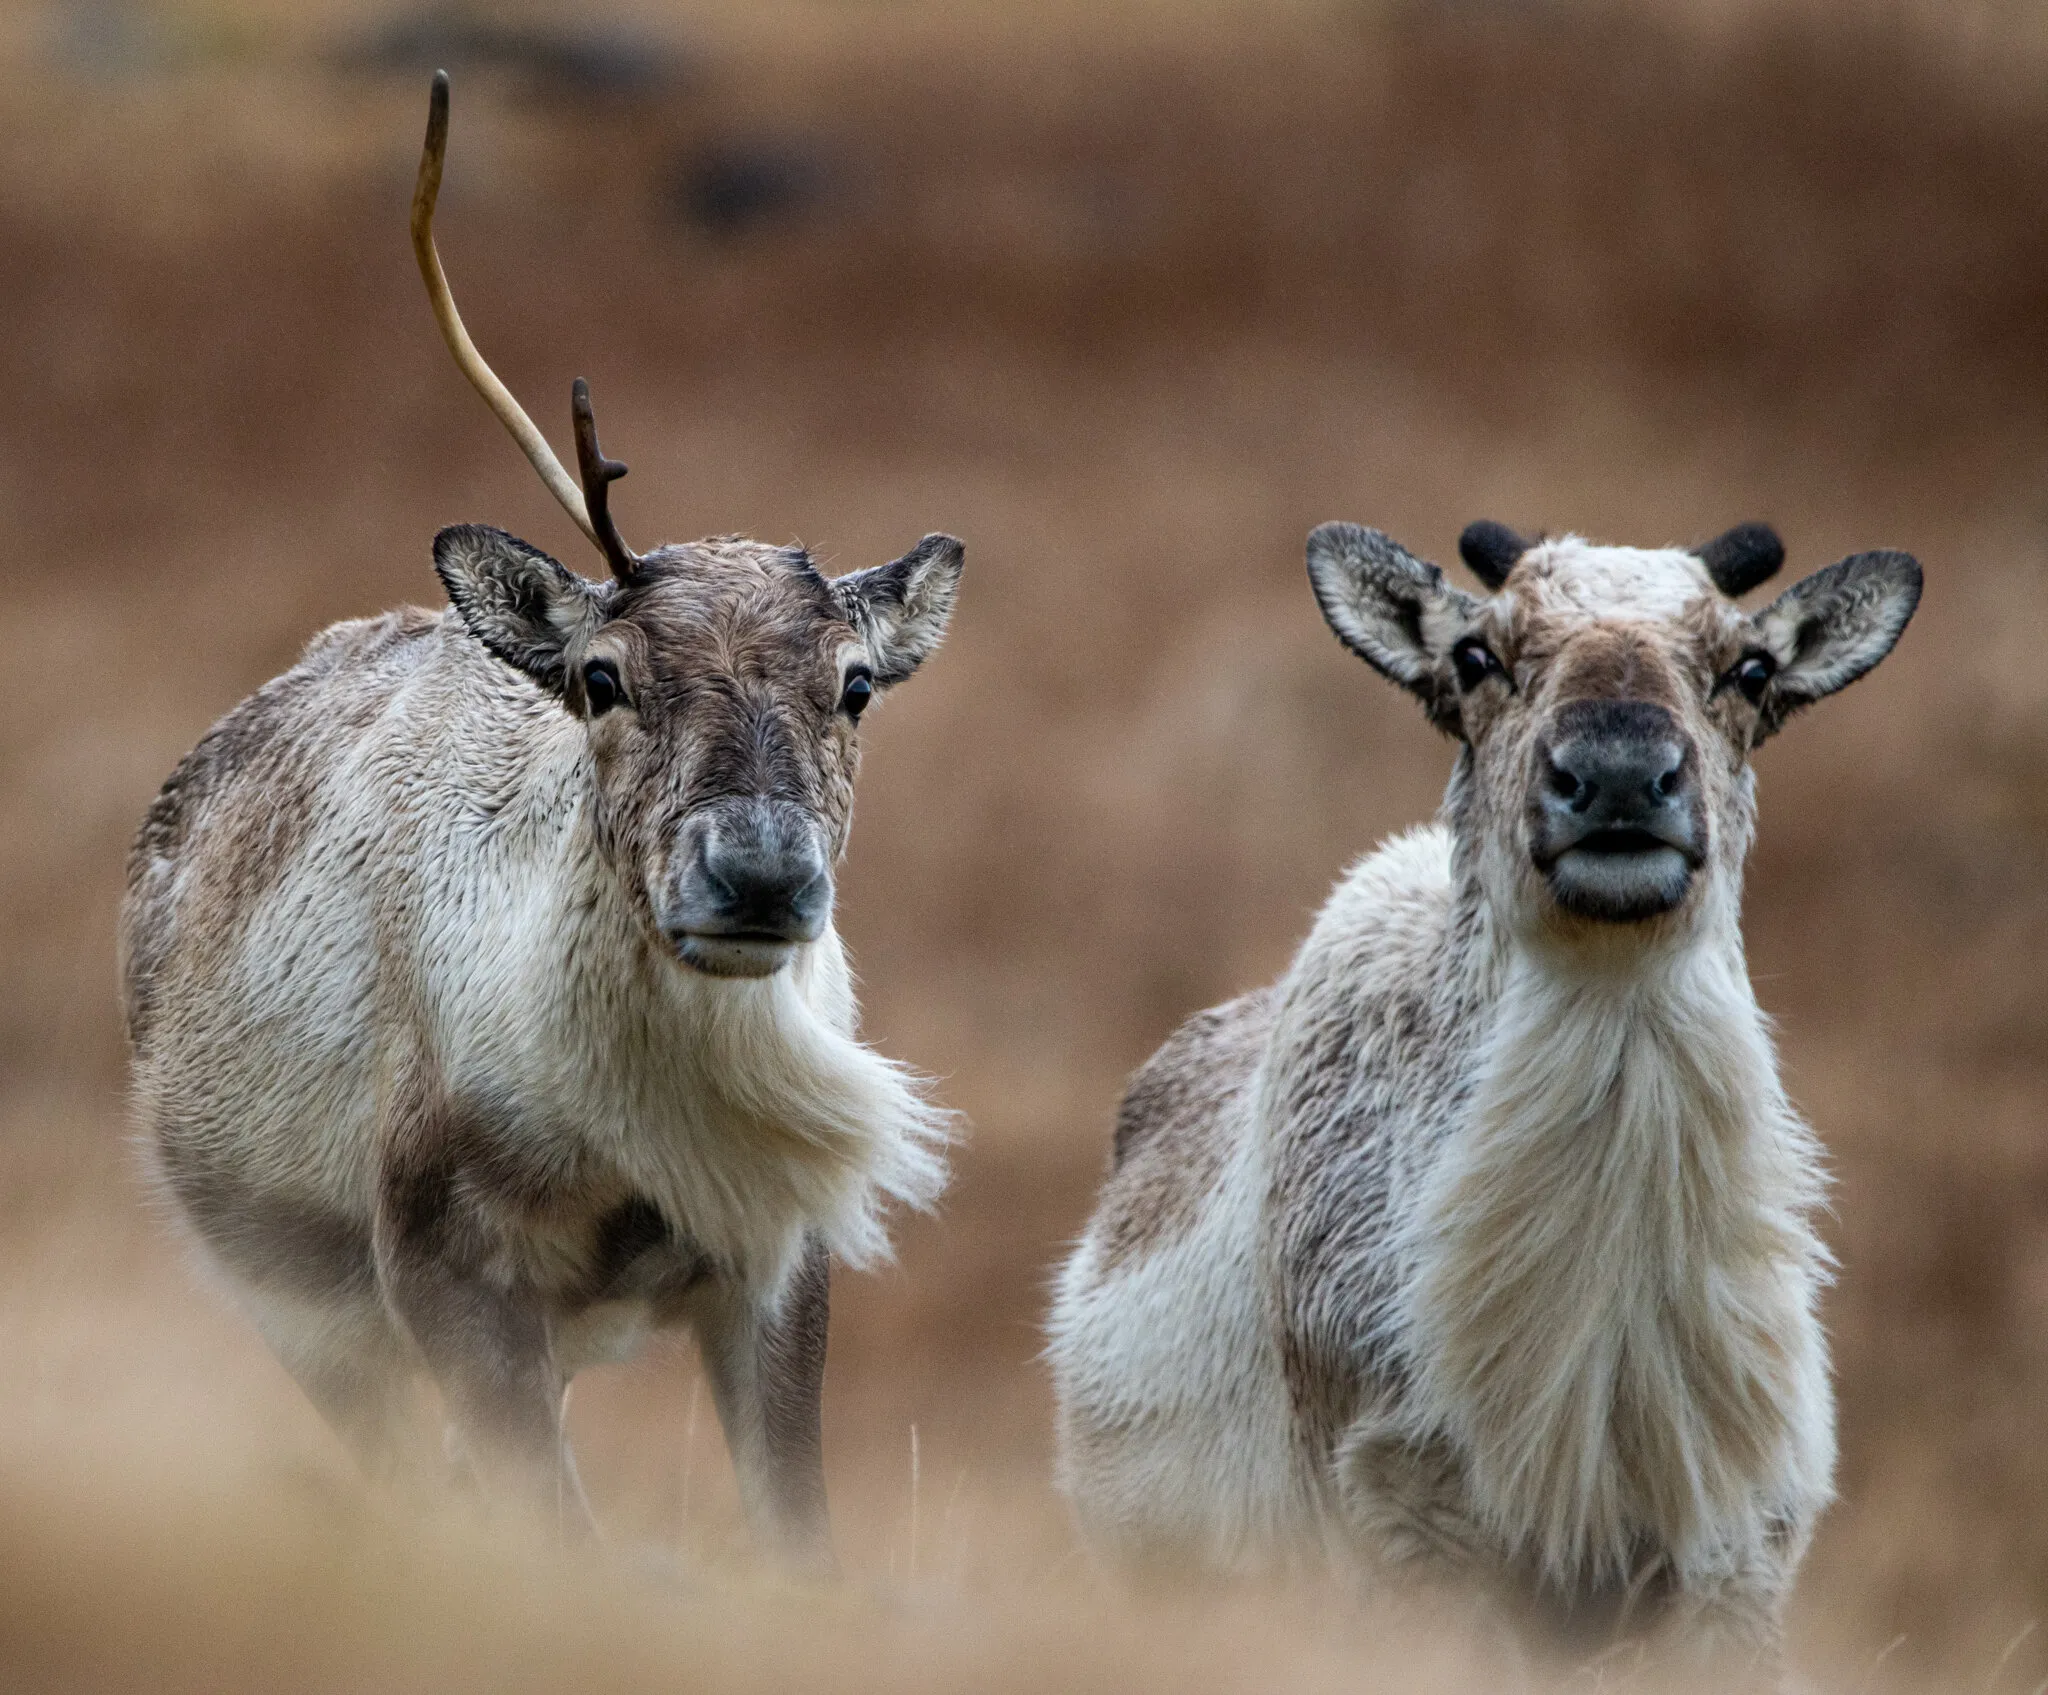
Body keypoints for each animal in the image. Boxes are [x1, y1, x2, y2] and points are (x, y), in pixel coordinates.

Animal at [119, 73, 964, 1564]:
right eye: (602, 676)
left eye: (855, 682)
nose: (757, 877)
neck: (632, 1130)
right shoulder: (443, 1267)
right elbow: (554, 1538)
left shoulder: (773, 1254)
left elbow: (797, 1538)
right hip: (303, 1310)